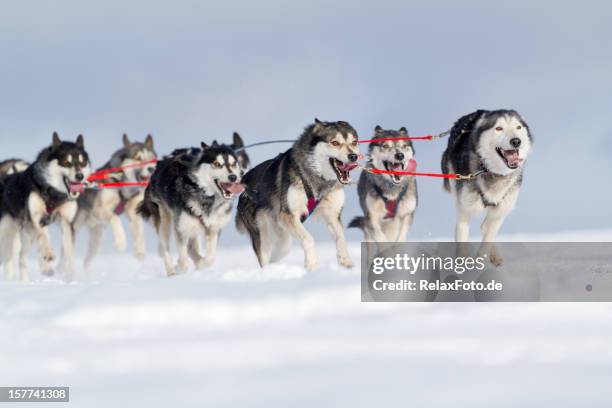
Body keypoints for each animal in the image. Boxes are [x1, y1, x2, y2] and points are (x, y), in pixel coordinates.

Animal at [0, 134, 91, 280]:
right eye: (67, 162)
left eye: (82, 163)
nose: (80, 176)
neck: (54, 193)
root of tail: (6, 178)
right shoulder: (37, 217)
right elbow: (44, 236)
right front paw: (48, 253)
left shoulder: (67, 222)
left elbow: (69, 250)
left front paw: (70, 273)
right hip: (9, 231)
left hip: (28, 235)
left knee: (22, 257)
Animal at [73, 133, 158, 268]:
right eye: (138, 158)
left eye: (152, 159)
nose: (151, 169)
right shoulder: (99, 210)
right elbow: (115, 217)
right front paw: (120, 242)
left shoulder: (133, 210)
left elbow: (139, 231)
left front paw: (140, 251)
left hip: (96, 240)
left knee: (88, 259)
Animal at [137, 140, 245, 278]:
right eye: (216, 164)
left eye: (233, 163)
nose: (233, 177)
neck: (206, 196)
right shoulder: (181, 228)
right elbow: (183, 262)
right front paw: (180, 268)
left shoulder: (213, 228)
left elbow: (210, 258)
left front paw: (201, 263)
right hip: (165, 222)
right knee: (166, 248)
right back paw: (171, 271)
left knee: (191, 248)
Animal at [235, 118, 358, 270]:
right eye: (335, 142)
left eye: (354, 142)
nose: (353, 156)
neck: (319, 180)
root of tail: (243, 183)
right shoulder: (289, 215)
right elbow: (308, 238)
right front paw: (311, 265)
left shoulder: (332, 214)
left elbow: (341, 238)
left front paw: (346, 262)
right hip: (264, 237)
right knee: (264, 257)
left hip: (283, 242)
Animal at [442, 110, 532, 266]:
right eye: (499, 128)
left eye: (518, 127)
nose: (516, 141)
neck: (491, 171)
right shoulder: (464, 210)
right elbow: (462, 239)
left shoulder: (500, 210)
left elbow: (488, 238)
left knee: (485, 227)